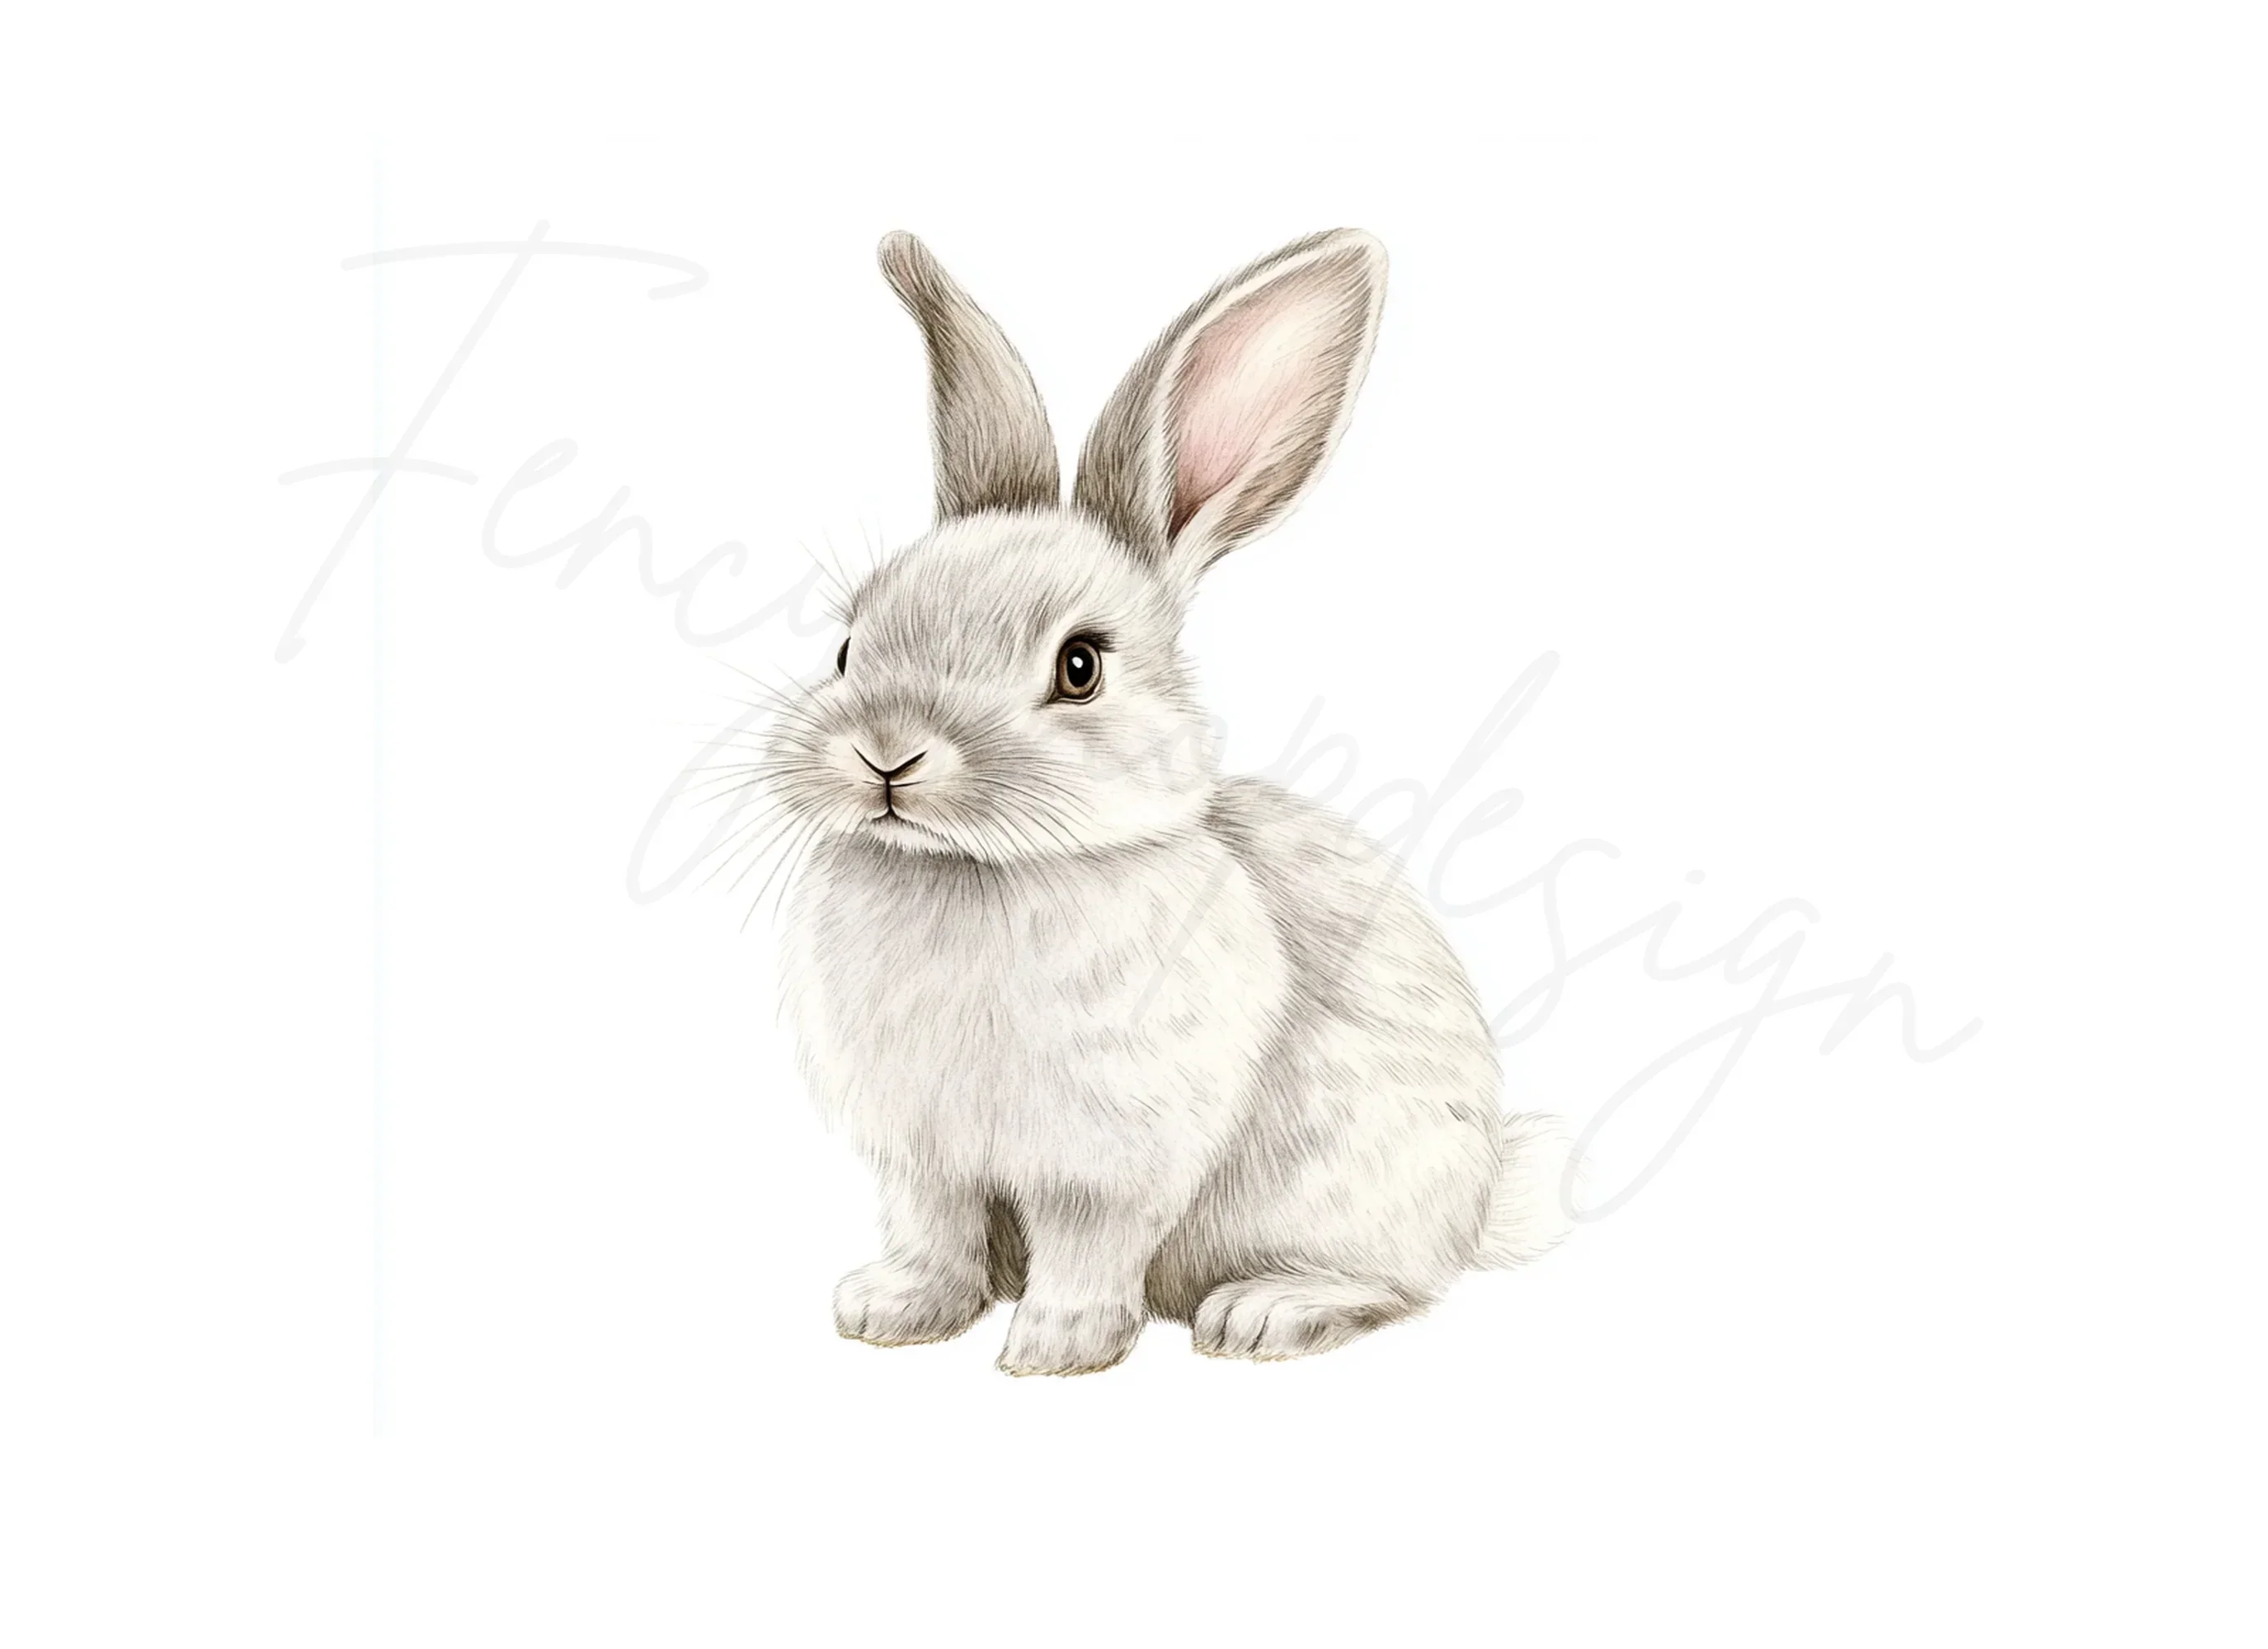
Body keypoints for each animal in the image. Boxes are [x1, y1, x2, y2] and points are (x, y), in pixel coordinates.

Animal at [760, 228, 1574, 1376]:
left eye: (1080, 667)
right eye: (845, 646)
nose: (886, 754)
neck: (980, 868)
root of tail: (1481, 1200)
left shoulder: (1111, 1161)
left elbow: (1089, 1243)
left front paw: (1055, 1346)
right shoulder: (922, 1155)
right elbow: (934, 1228)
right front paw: (892, 1310)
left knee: (1394, 1284)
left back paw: (1264, 1312)